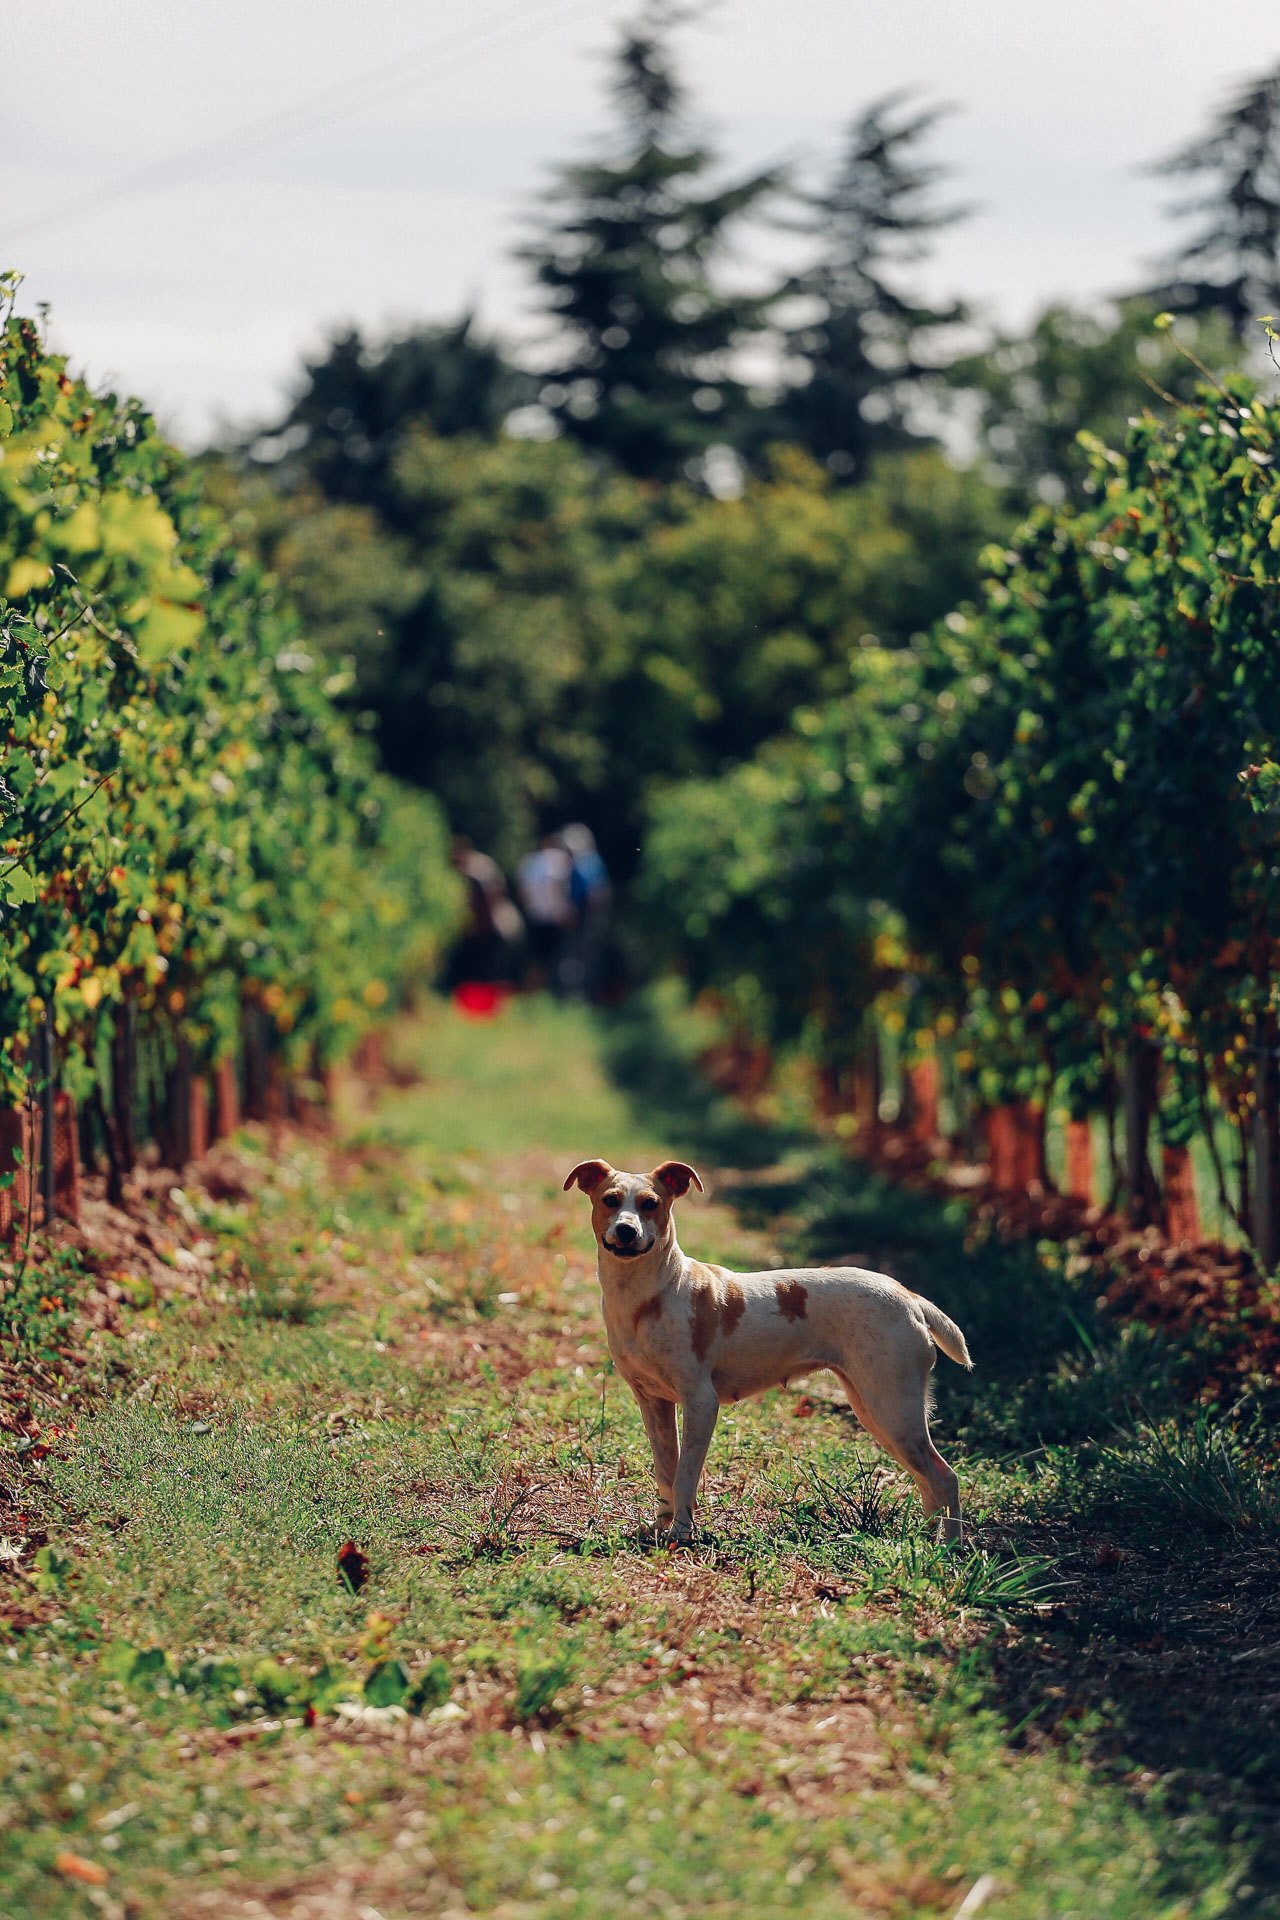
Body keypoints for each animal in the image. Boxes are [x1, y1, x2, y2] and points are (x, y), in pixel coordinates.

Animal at [560, 1152, 971, 1543]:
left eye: (650, 1204)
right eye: (610, 1200)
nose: (626, 1230)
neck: (648, 1296)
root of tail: (909, 1296)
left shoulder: (701, 1402)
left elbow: (685, 1475)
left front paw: (681, 1533)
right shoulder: (652, 1402)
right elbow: (666, 1472)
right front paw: (661, 1527)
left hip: (893, 1410)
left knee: (945, 1478)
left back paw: (949, 1548)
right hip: (875, 1410)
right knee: (927, 1483)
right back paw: (924, 1541)